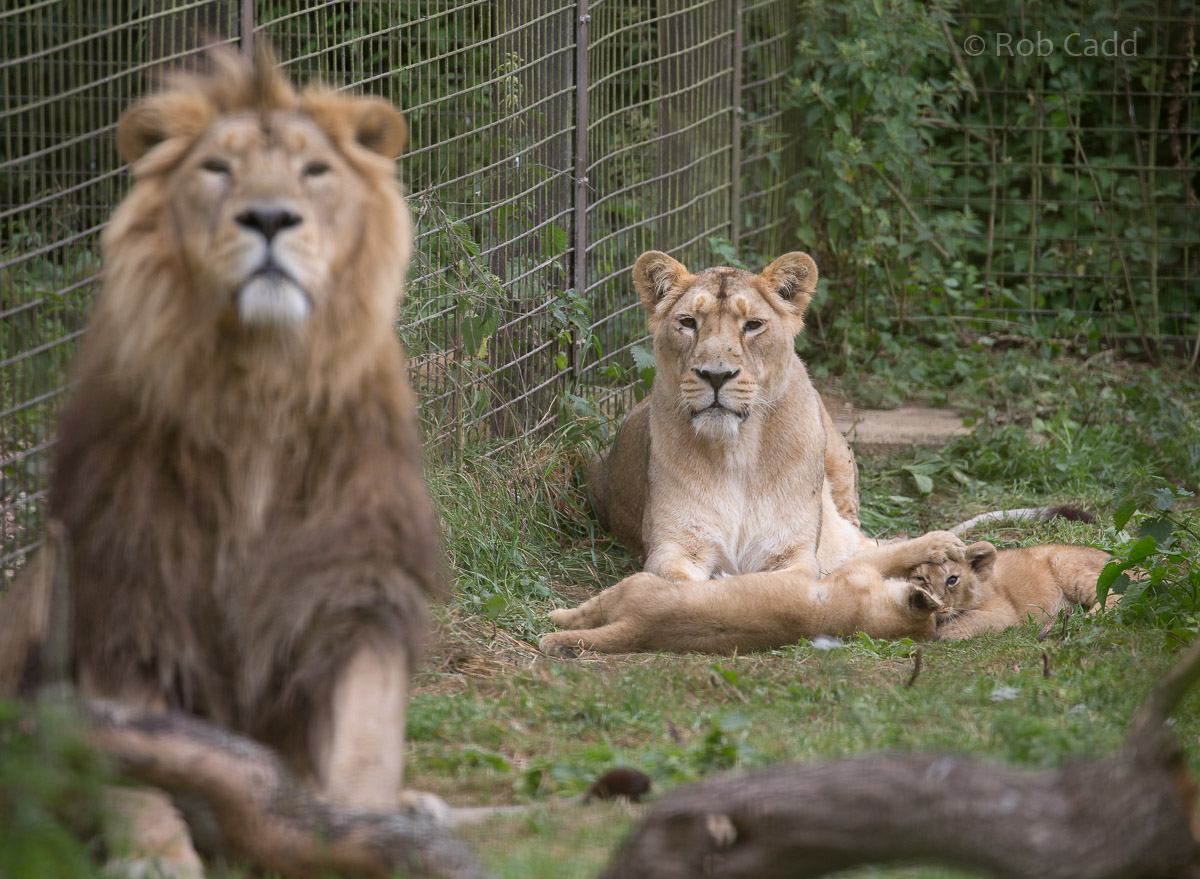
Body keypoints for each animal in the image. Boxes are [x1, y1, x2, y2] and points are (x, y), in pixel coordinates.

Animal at [0, 49, 444, 876]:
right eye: (216, 169)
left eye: (313, 171)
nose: (268, 218)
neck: (259, 390)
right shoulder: (128, 585)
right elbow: (135, 754)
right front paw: (155, 854)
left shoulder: (355, 579)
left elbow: (367, 732)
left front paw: (370, 829)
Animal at [539, 530, 964, 654]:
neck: (870, 618)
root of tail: (642, 629)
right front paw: (941, 545)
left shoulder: (856, 569)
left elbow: (893, 553)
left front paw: (936, 544)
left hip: (635, 584)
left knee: (585, 613)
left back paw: (551, 620)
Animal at [587, 251, 866, 582]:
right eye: (688, 322)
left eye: (753, 325)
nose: (716, 375)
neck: (737, 450)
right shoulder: (672, 549)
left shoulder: (793, 554)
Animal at [908, 542, 1117, 640]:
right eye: (920, 578)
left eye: (952, 580)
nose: (935, 605)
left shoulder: (1006, 614)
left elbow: (972, 617)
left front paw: (948, 631)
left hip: (1066, 564)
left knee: (1113, 595)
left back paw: (1087, 617)